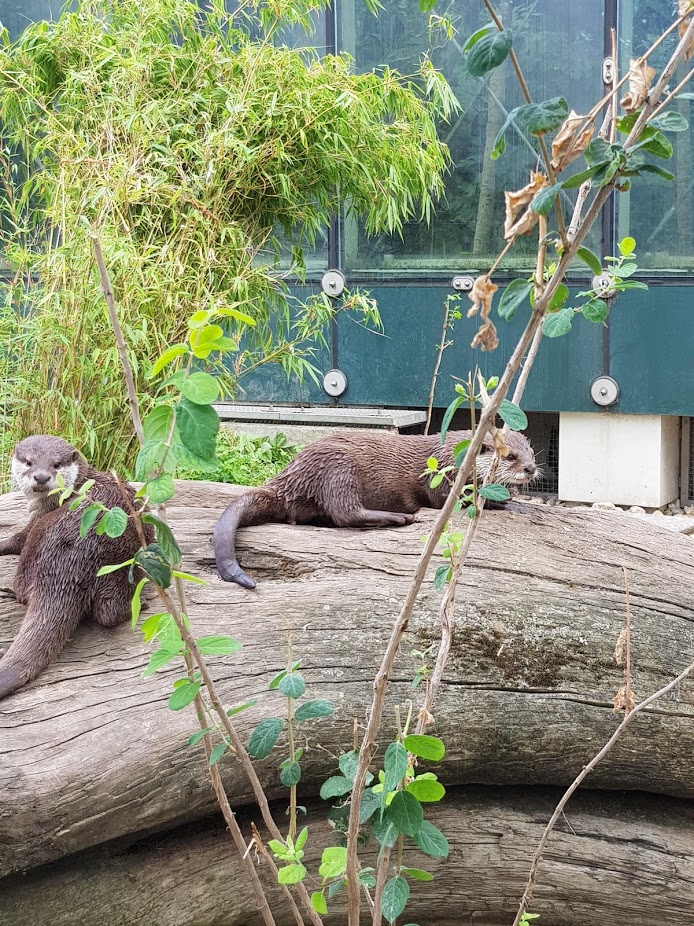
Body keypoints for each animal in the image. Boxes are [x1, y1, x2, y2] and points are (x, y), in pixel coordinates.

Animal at [0, 435, 151, 700]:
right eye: (28, 462)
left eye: (56, 464)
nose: (41, 477)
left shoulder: (37, 519)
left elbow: (18, 538)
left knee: (108, 613)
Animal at [213, 428, 537, 589]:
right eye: (510, 456)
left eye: (532, 452)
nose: (531, 469)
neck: (453, 456)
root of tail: (290, 475)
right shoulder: (442, 480)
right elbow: (455, 500)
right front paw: (504, 502)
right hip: (339, 467)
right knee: (346, 513)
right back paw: (400, 517)